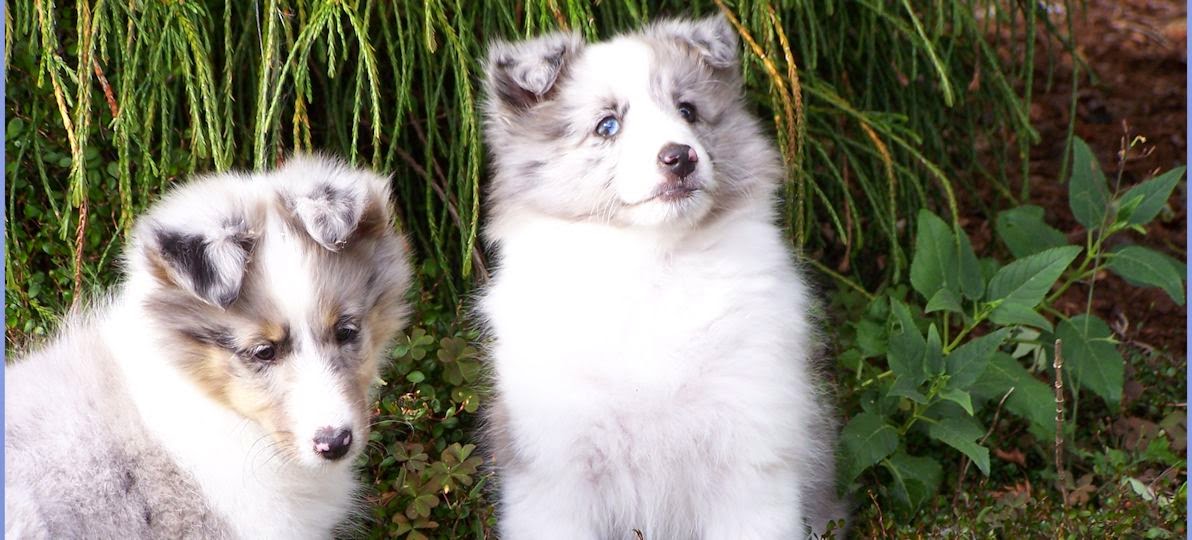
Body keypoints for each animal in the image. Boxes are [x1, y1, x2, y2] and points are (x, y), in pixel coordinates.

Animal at [474, 14, 848, 536]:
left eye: (687, 110)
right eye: (607, 125)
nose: (680, 157)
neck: (654, 261)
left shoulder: (749, 455)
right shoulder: (557, 471)